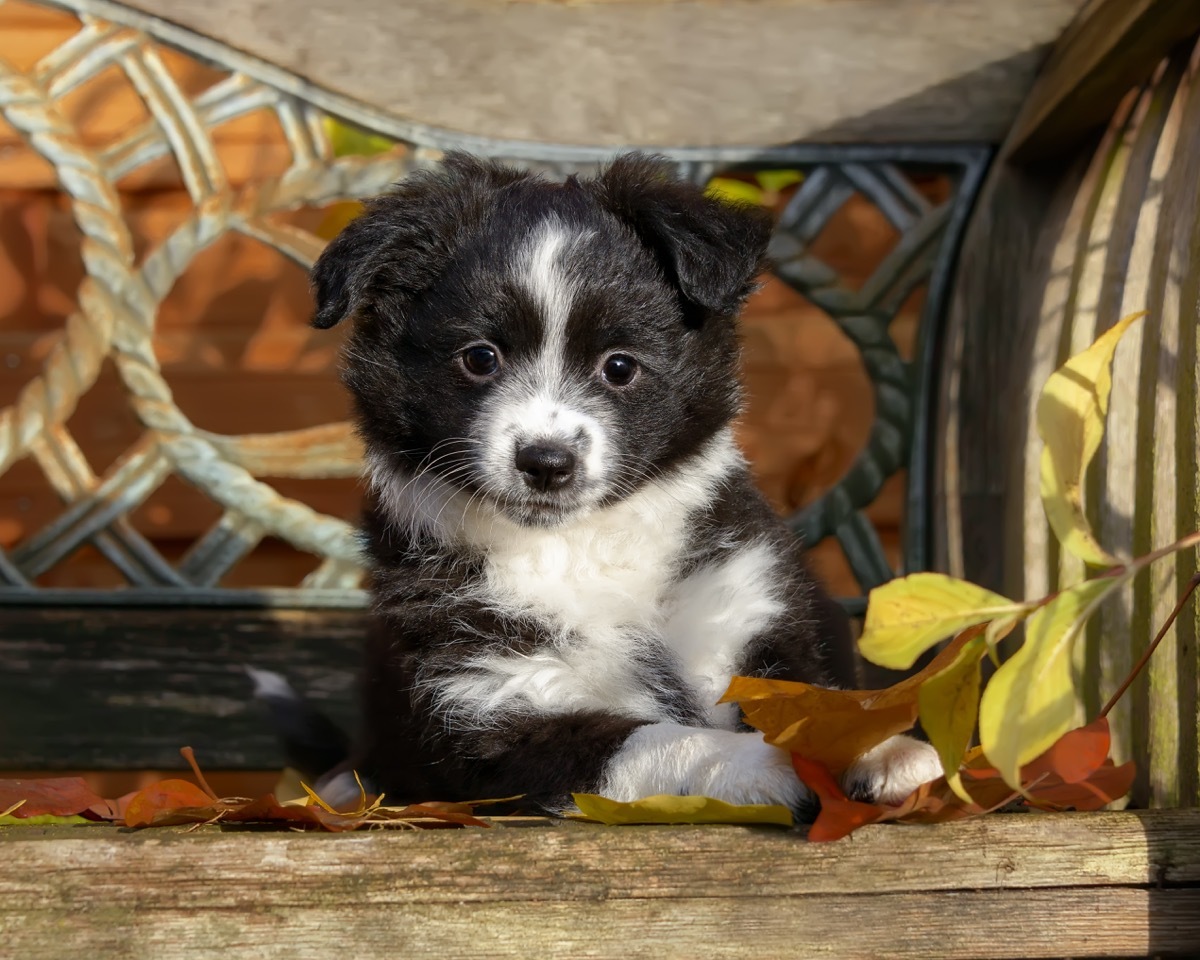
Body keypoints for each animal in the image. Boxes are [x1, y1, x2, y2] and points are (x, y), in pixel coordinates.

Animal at [304, 153, 940, 816]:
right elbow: (654, 739)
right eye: (479, 358)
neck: (581, 543)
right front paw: (765, 764)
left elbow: (813, 699)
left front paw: (877, 745)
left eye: (619, 366)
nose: (546, 462)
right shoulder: (490, 707)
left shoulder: (745, 607)